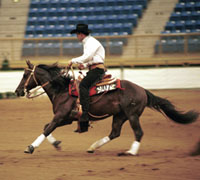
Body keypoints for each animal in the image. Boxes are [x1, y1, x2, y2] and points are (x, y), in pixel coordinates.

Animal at [15, 60, 198, 155]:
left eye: (25, 75)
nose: (17, 91)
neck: (63, 89)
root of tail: (142, 89)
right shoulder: (66, 118)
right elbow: (46, 127)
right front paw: (56, 144)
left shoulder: (60, 116)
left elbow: (46, 129)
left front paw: (30, 147)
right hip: (119, 116)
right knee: (114, 133)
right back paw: (93, 147)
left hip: (132, 115)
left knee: (138, 132)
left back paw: (131, 152)